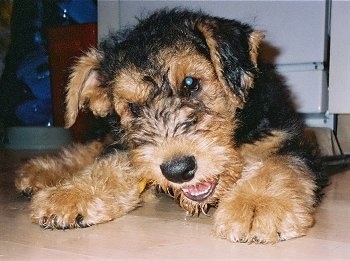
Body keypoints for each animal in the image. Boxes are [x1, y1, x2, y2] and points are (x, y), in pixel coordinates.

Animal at [14, 8, 328, 244]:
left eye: (191, 83)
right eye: (133, 107)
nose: (178, 170)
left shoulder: (286, 137)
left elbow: (278, 163)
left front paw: (257, 205)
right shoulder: (134, 149)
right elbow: (112, 161)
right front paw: (69, 195)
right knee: (94, 147)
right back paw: (38, 172)